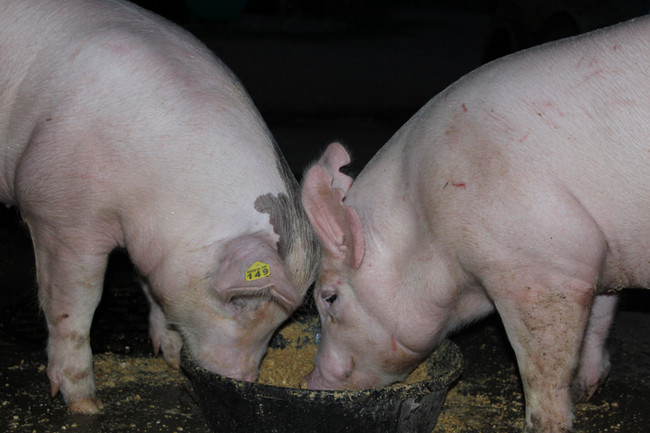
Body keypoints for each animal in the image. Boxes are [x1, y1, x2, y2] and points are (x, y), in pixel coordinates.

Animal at [0, 0, 319, 414]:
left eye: (281, 319)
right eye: (240, 302)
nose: (245, 378)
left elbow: (152, 287)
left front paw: (168, 354)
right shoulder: (58, 211)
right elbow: (77, 303)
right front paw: (88, 405)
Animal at [301, 16, 649, 433]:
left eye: (329, 298)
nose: (310, 381)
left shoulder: (541, 267)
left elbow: (542, 365)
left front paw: (544, 424)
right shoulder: (598, 256)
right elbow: (599, 319)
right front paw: (584, 391)